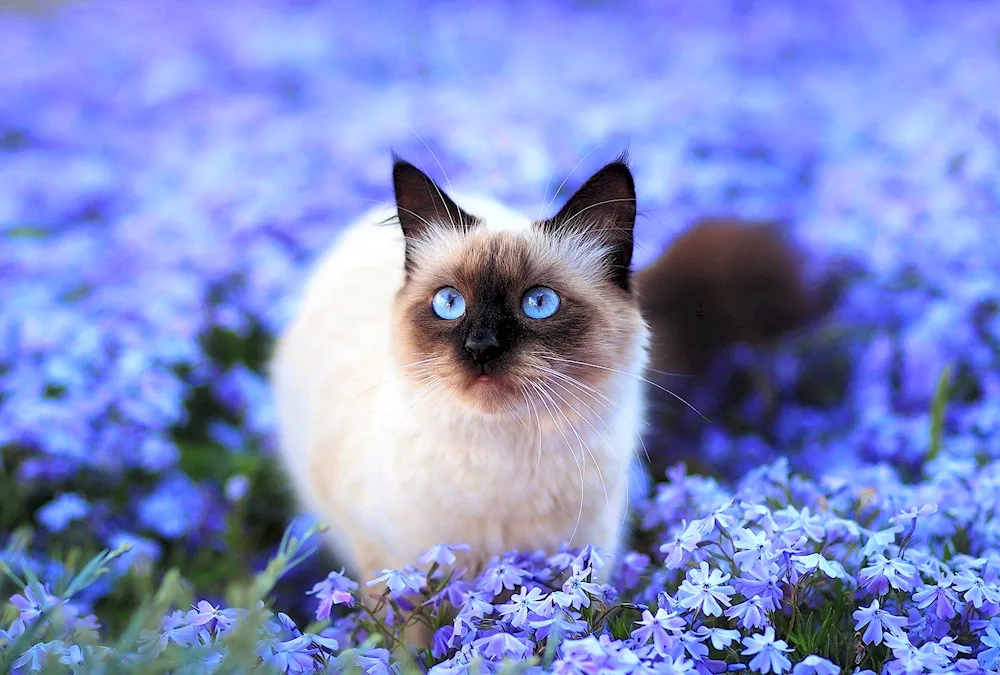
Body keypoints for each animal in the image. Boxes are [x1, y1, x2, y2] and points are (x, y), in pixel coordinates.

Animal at [268, 154, 828, 608]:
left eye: (539, 303)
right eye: (449, 303)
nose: (481, 347)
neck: (505, 456)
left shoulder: (581, 560)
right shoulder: (393, 567)